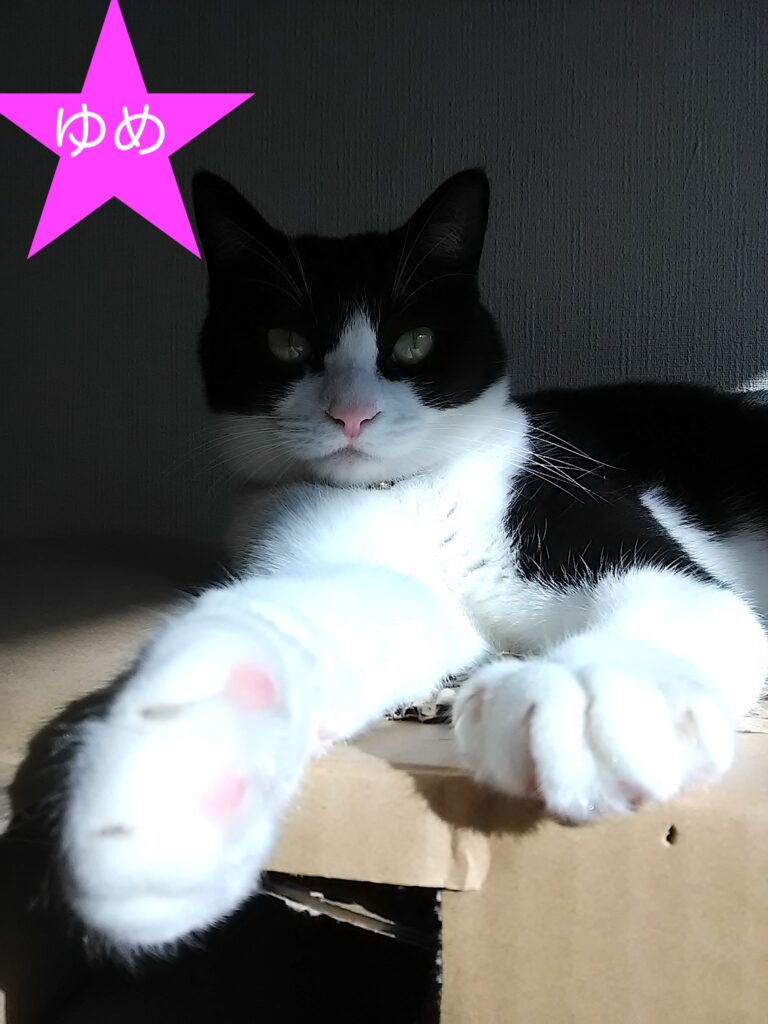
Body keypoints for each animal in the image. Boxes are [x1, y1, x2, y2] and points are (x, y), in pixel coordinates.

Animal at [60, 168, 768, 954]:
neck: (407, 494)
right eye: (285, 341)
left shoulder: (575, 501)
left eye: (415, 341)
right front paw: (168, 779)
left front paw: (591, 696)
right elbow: (297, 622)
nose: (351, 413)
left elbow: (680, 598)